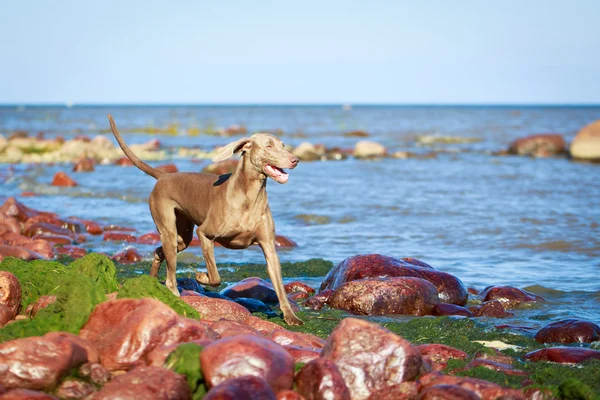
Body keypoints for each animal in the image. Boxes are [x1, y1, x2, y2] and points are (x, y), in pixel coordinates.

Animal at [108, 113, 302, 324]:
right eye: (268, 146)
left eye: (283, 145)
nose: (295, 160)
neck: (249, 196)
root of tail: (164, 176)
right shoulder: (205, 234)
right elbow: (215, 276)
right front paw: (202, 277)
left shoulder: (269, 246)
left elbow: (280, 286)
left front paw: (290, 317)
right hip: (168, 229)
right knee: (170, 276)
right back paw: (174, 296)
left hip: (182, 237)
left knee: (160, 252)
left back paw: (151, 281)